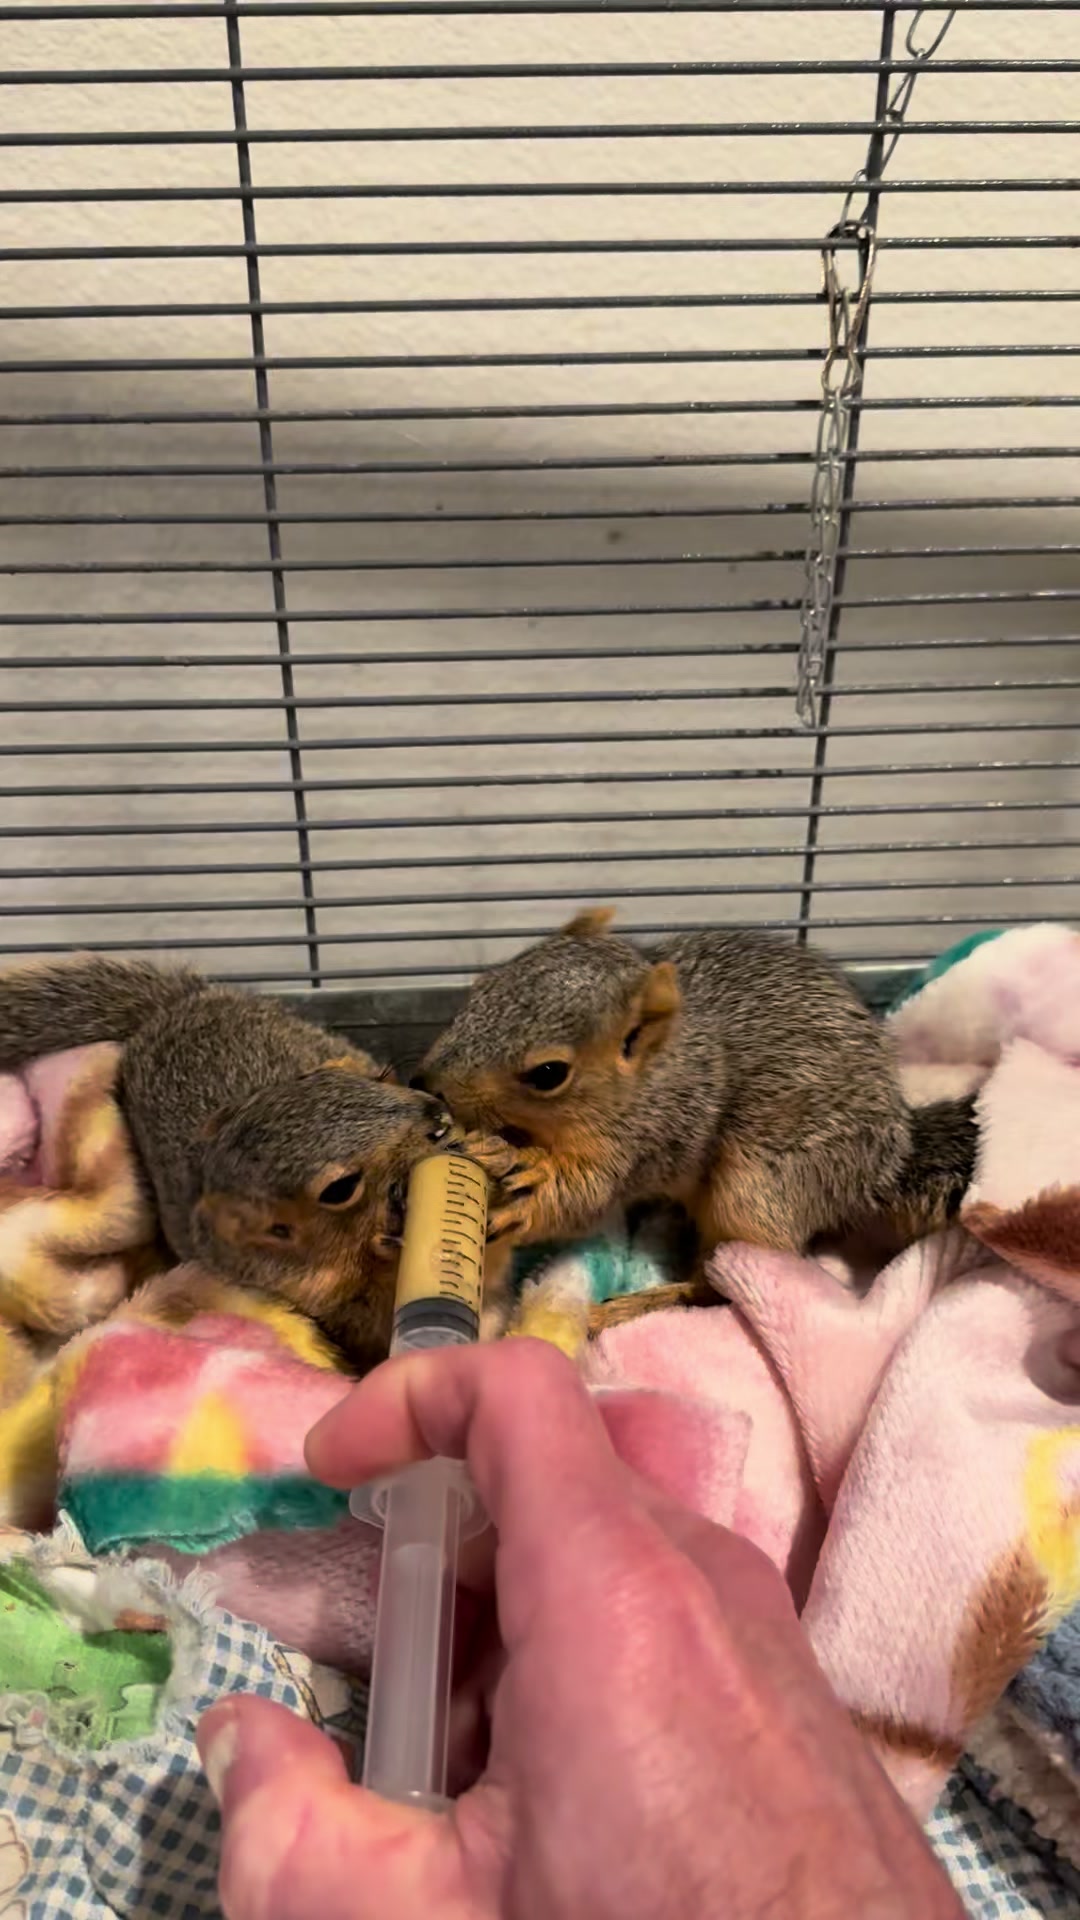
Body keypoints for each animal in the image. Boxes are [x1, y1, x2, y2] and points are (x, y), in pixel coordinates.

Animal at [414, 909, 979, 1325]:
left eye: (549, 1073)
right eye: (479, 988)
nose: (426, 1083)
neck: (655, 1070)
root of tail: (885, 1165)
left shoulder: (653, 1134)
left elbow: (583, 1195)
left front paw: (527, 1191)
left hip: (758, 1190)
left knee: (726, 1287)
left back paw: (640, 1305)